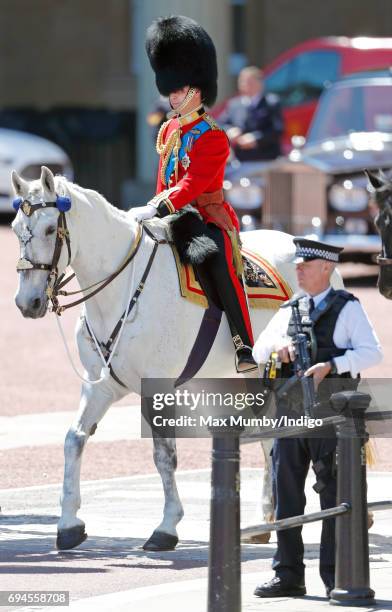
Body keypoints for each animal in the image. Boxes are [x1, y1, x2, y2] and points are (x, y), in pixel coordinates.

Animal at [10, 165, 342, 552]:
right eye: (16, 229)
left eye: (51, 229)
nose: (27, 302)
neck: (121, 289)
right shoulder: (101, 386)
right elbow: (74, 439)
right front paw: (68, 523)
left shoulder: (157, 388)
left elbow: (163, 454)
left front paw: (167, 526)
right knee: (269, 437)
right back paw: (267, 519)